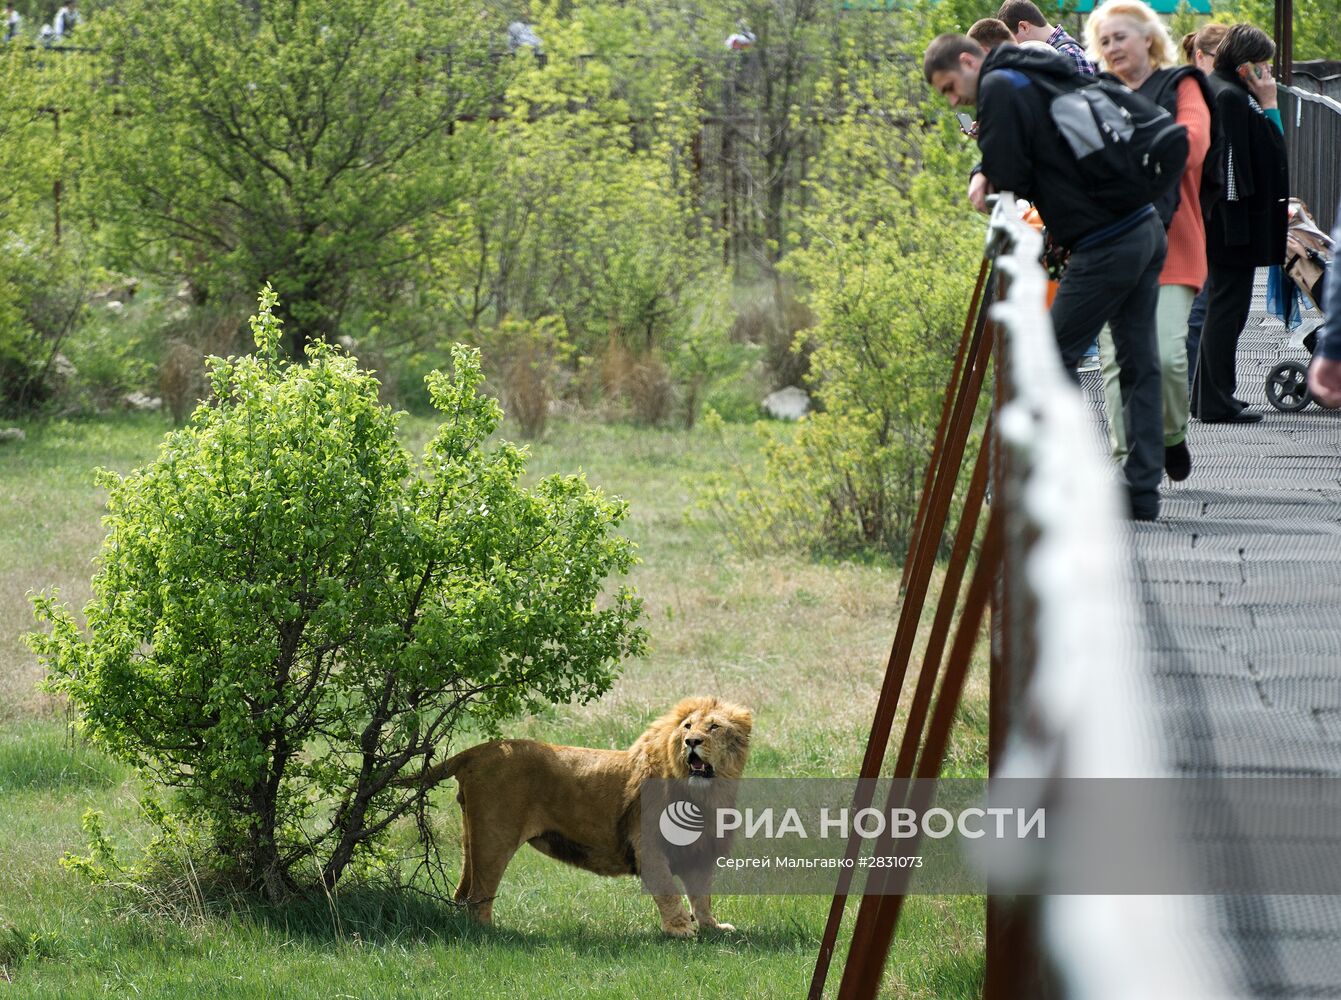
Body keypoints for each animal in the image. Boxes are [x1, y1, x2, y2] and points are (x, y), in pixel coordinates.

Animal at [396, 691, 756, 932]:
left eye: (713, 727)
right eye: (686, 726)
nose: (691, 742)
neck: (706, 794)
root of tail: (477, 750)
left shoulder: (701, 853)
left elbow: (702, 895)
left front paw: (711, 927)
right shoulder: (649, 847)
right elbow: (668, 890)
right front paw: (681, 929)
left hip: (472, 838)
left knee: (462, 892)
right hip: (495, 836)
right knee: (478, 895)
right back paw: (490, 934)